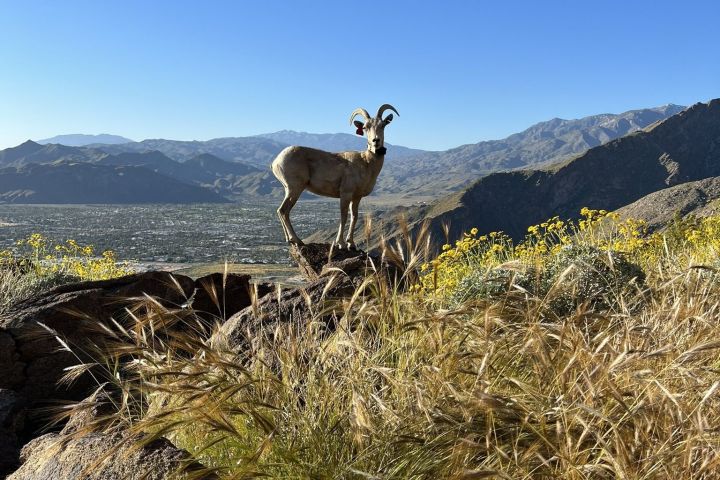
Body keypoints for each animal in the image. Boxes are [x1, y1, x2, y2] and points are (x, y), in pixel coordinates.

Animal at [271, 104, 399, 250]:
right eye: (366, 127)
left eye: (383, 125)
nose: (375, 141)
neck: (366, 163)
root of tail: (275, 162)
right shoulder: (345, 194)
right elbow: (343, 216)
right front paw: (341, 244)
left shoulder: (356, 197)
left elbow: (354, 216)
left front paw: (351, 244)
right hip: (295, 189)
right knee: (283, 210)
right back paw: (297, 240)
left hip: (290, 189)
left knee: (282, 211)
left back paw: (290, 240)